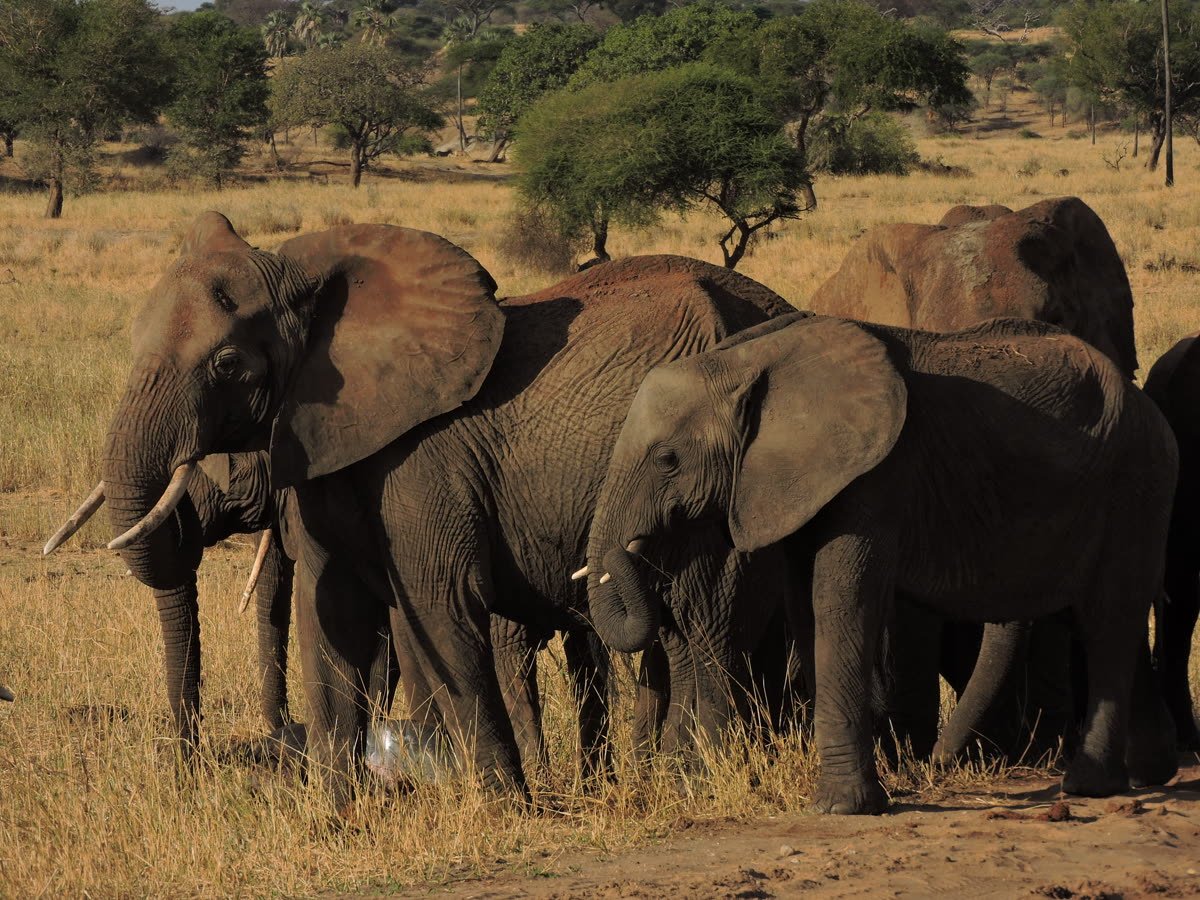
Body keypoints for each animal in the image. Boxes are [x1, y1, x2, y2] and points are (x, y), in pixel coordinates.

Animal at [49, 213, 792, 809]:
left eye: (227, 363)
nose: (188, 775)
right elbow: (330, 610)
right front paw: (336, 817)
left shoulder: (421, 462)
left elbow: (438, 602)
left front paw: (501, 808)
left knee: (700, 621)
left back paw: (695, 780)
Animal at [583, 312, 1178, 814]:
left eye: (668, 460)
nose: (631, 550)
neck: (747, 360)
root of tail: (1147, 406)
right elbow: (805, 606)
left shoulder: (876, 475)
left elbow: (840, 600)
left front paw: (842, 808)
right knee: (1109, 619)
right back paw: (1146, 777)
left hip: (1137, 483)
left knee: (1108, 620)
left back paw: (1090, 787)